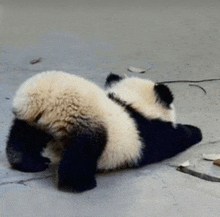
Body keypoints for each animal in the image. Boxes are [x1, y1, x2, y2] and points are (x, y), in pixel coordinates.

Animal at [6, 71, 203, 192]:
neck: (132, 102)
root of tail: (43, 103)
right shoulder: (148, 133)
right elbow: (170, 140)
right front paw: (195, 131)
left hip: (33, 121)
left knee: (23, 137)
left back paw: (29, 162)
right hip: (86, 123)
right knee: (81, 154)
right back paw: (80, 184)